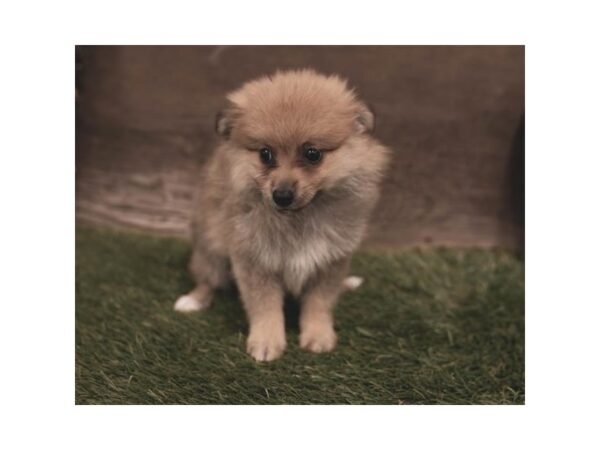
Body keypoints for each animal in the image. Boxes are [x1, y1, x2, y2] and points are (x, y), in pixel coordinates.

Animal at [175, 67, 390, 362]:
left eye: (313, 154)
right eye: (265, 154)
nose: (282, 195)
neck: (299, 218)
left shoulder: (330, 262)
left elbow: (319, 304)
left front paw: (318, 336)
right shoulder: (254, 260)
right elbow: (265, 306)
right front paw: (266, 342)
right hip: (212, 250)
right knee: (208, 279)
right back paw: (193, 300)